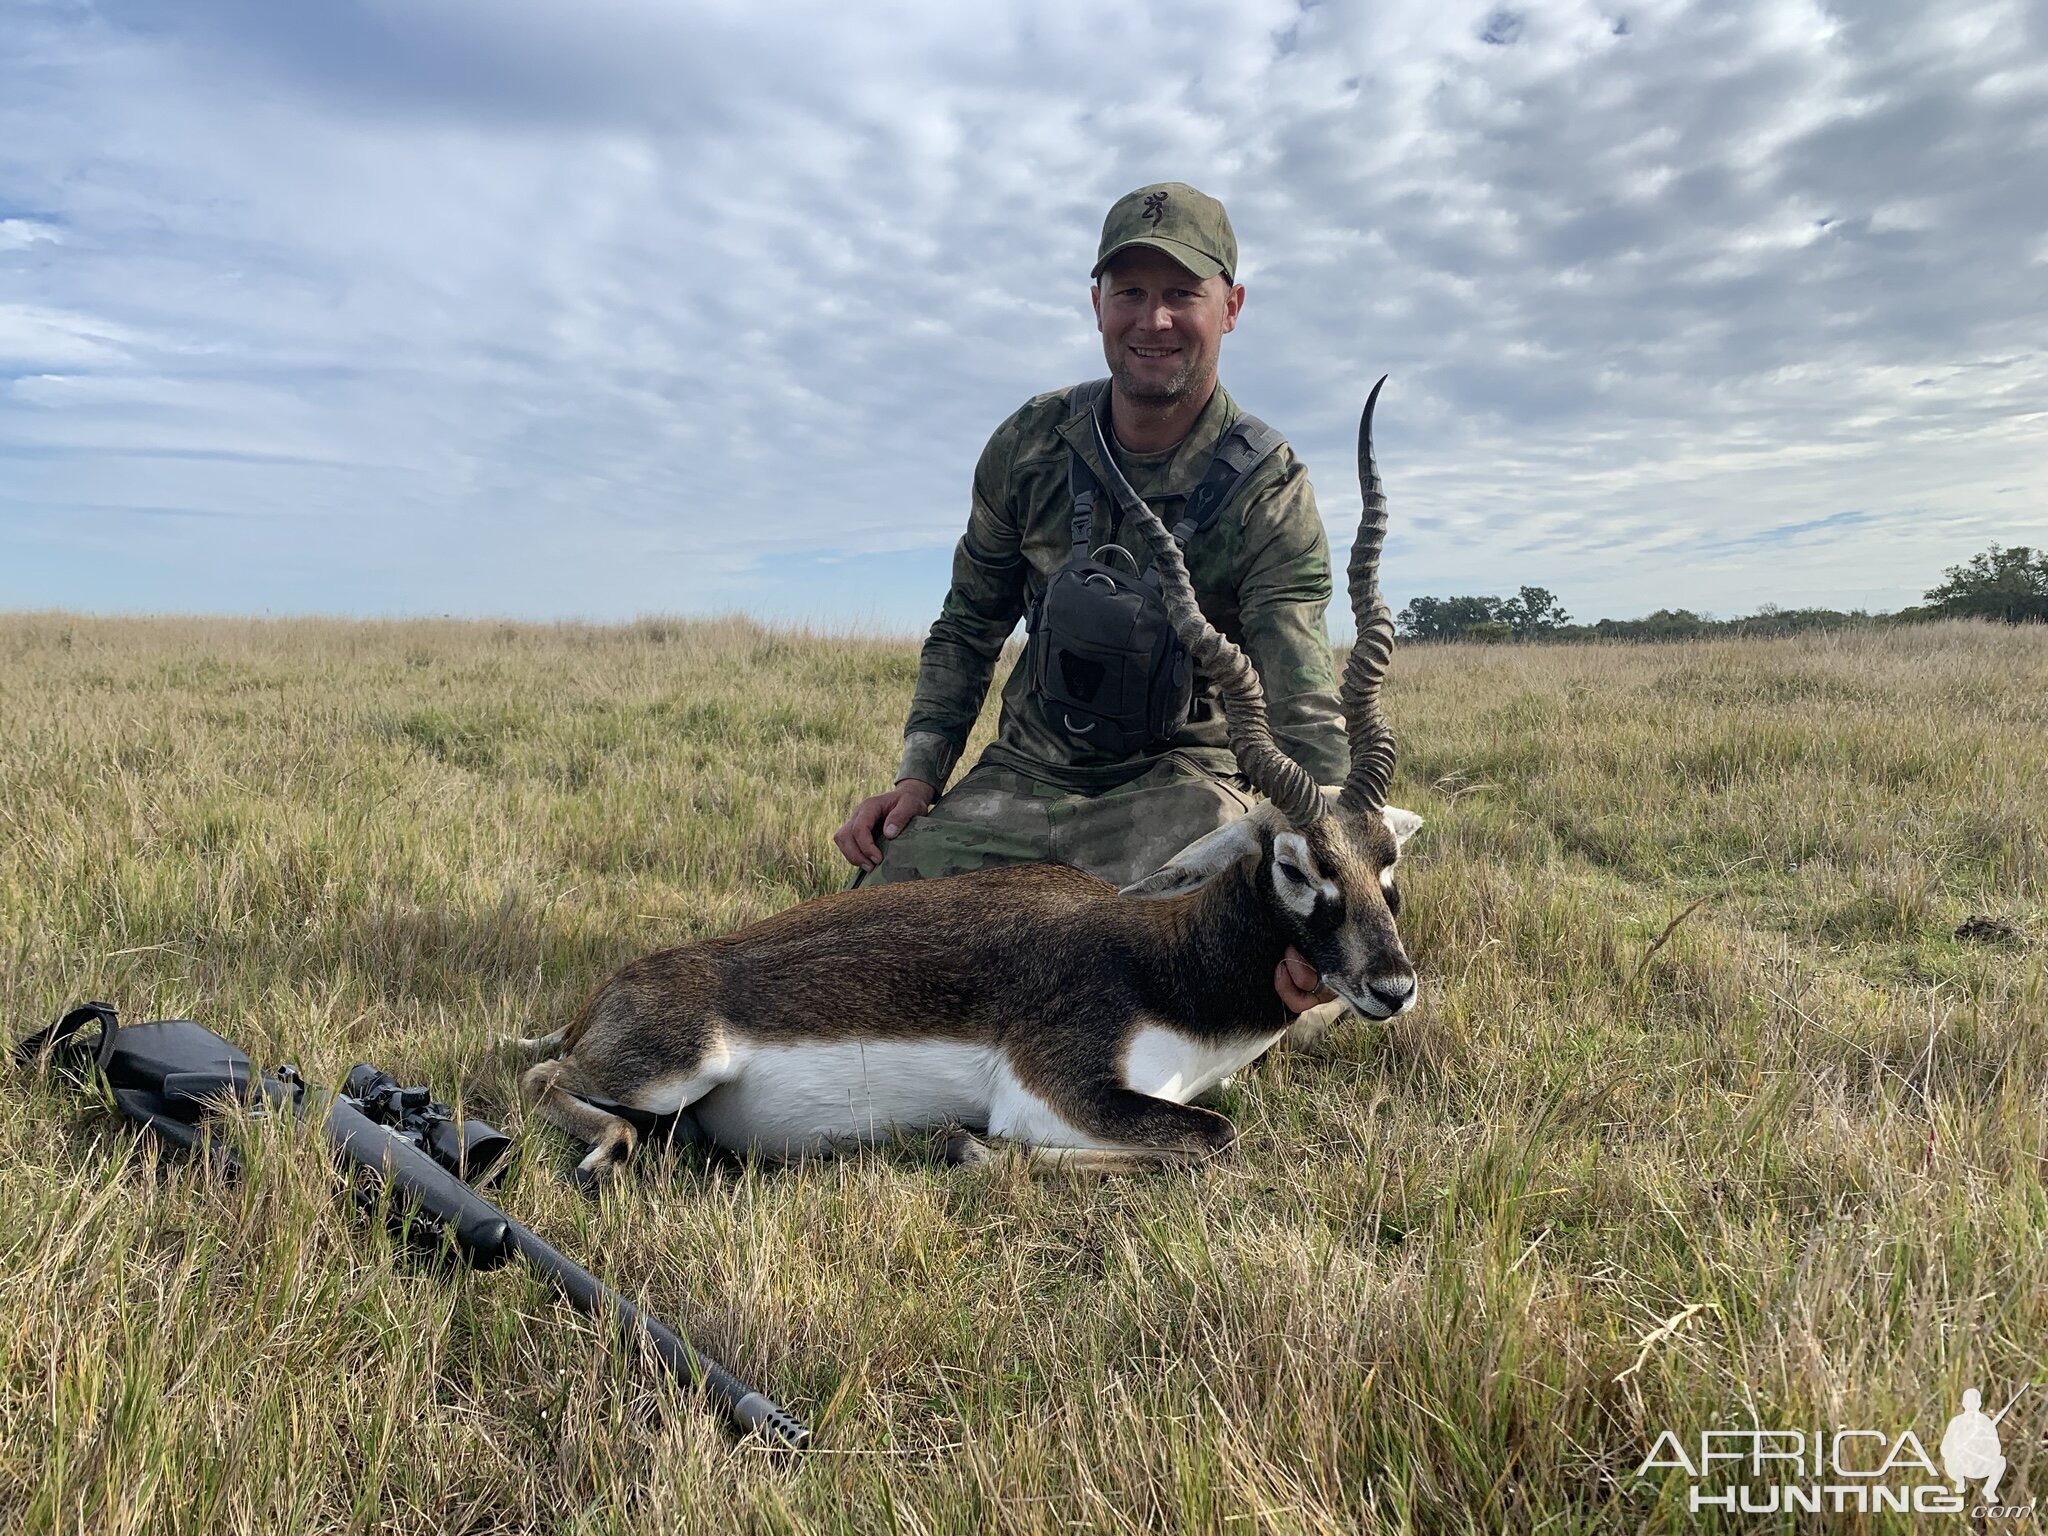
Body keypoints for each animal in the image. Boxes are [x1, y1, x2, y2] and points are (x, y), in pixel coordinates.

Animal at [524, 385, 1425, 1179]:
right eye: (1294, 866)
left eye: (1388, 864)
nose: (1392, 986)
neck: (1168, 968)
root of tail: (601, 999)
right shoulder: (1054, 1091)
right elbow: (1208, 1137)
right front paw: (968, 1148)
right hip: (675, 1067)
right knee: (544, 1079)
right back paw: (605, 1151)